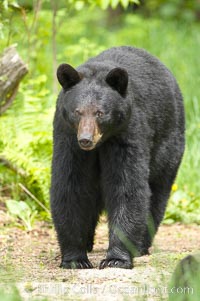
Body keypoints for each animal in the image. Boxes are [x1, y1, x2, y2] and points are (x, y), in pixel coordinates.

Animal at [50, 45, 185, 268]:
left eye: (100, 112)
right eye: (77, 111)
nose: (85, 139)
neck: (101, 143)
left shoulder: (127, 135)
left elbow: (126, 187)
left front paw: (116, 259)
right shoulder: (68, 139)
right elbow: (70, 186)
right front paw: (75, 259)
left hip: (168, 143)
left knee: (157, 191)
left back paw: (140, 246)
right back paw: (88, 242)